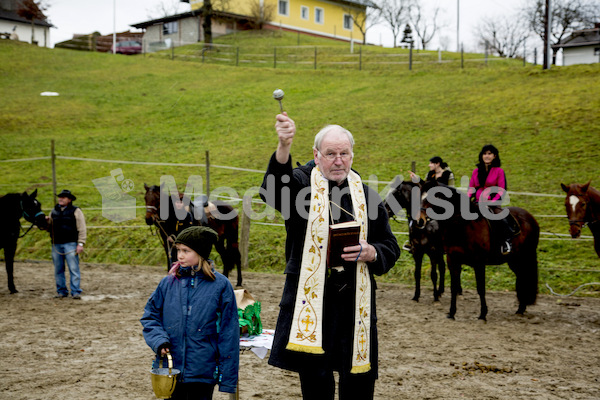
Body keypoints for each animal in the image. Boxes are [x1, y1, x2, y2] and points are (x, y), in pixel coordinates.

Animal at [418, 183, 540, 320]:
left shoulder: (479, 263)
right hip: (514, 260)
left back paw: (521, 308)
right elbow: (454, 287)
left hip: (524, 257)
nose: (420, 220)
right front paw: (452, 313)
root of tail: (531, 218)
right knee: (522, 277)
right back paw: (520, 308)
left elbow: (481, 288)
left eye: (431, 198)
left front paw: (482, 314)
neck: (463, 226)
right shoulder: (453, 261)